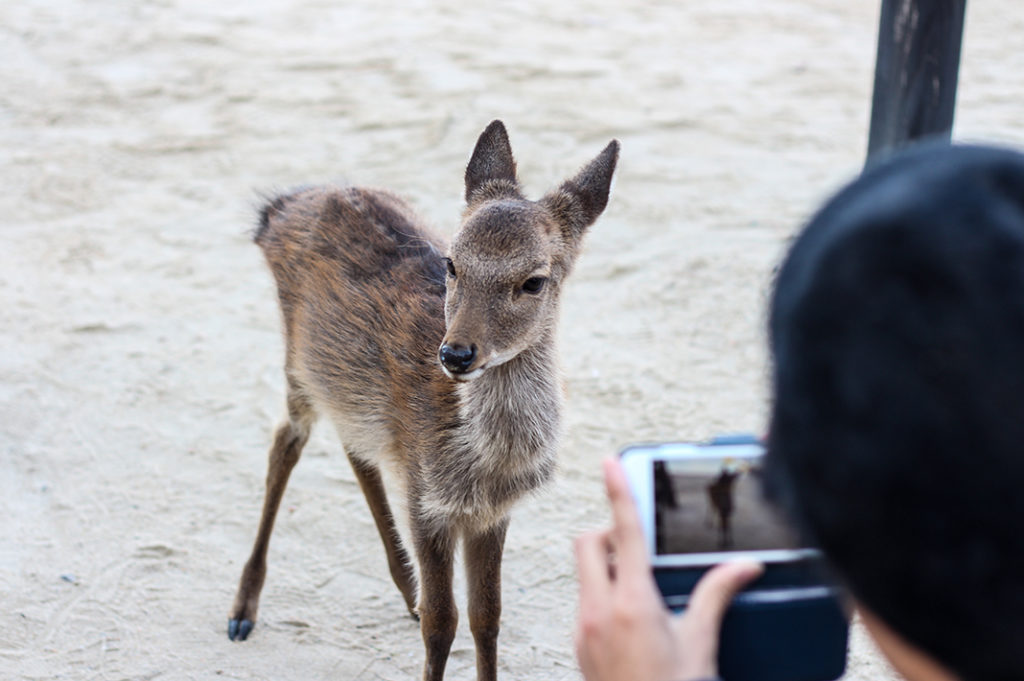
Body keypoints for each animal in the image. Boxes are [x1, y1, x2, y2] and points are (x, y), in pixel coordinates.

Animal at [227, 118, 618, 679]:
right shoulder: (426, 498)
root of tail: (277, 208)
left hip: (344, 388)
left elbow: (486, 617)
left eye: (534, 280)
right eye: (452, 264)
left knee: (353, 446)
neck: (481, 461)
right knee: (286, 441)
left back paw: (405, 588)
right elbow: (442, 623)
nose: (455, 353)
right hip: (298, 364)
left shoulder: (489, 512)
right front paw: (427, 617)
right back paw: (242, 610)